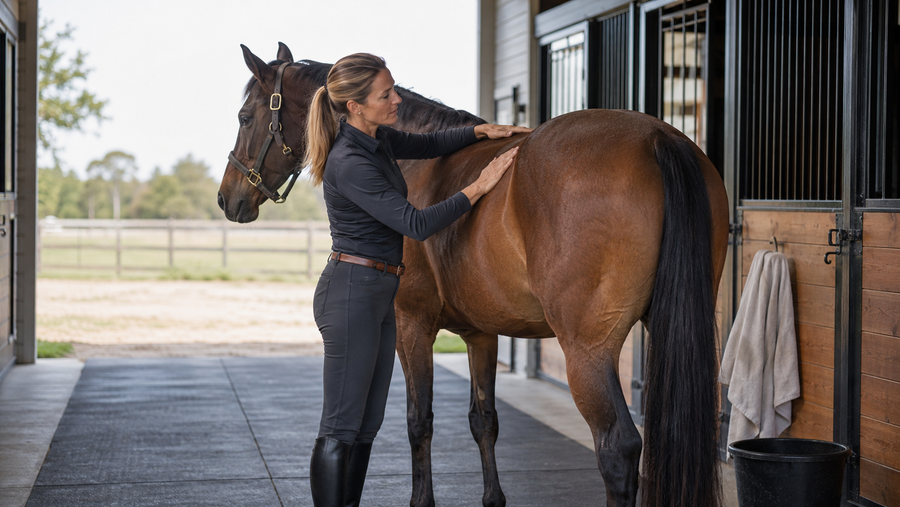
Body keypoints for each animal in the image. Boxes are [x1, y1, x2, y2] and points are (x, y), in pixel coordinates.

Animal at [218, 43, 729, 507]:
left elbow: (418, 420)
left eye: (244, 117)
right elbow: (484, 420)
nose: (228, 198)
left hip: (588, 350)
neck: (416, 165)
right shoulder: (481, 333)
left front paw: (421, 500)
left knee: (618, 449)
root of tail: (657, 138)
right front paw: (492, 498)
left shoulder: (411, 326)